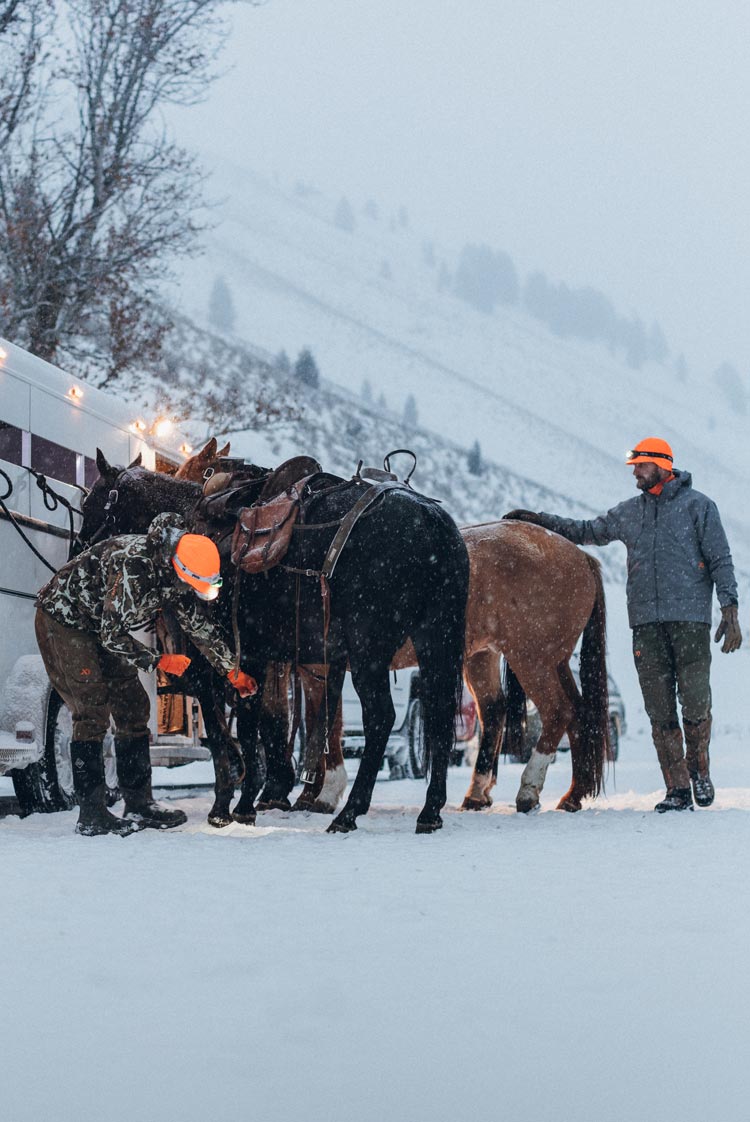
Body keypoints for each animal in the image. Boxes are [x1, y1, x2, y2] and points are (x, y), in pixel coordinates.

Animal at [78, 453, 470, 834]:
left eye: (91, 503)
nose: (78, 550)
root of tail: (433, 521)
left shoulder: (213, 663)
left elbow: (226, 733)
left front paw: (227, 805)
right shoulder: (255, 658)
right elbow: (258, 721)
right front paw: (249, 800)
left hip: (368, 650)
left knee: (380, 718)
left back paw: (349, 813)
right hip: (435, 640)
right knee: (437, 717)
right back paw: (429, 811)